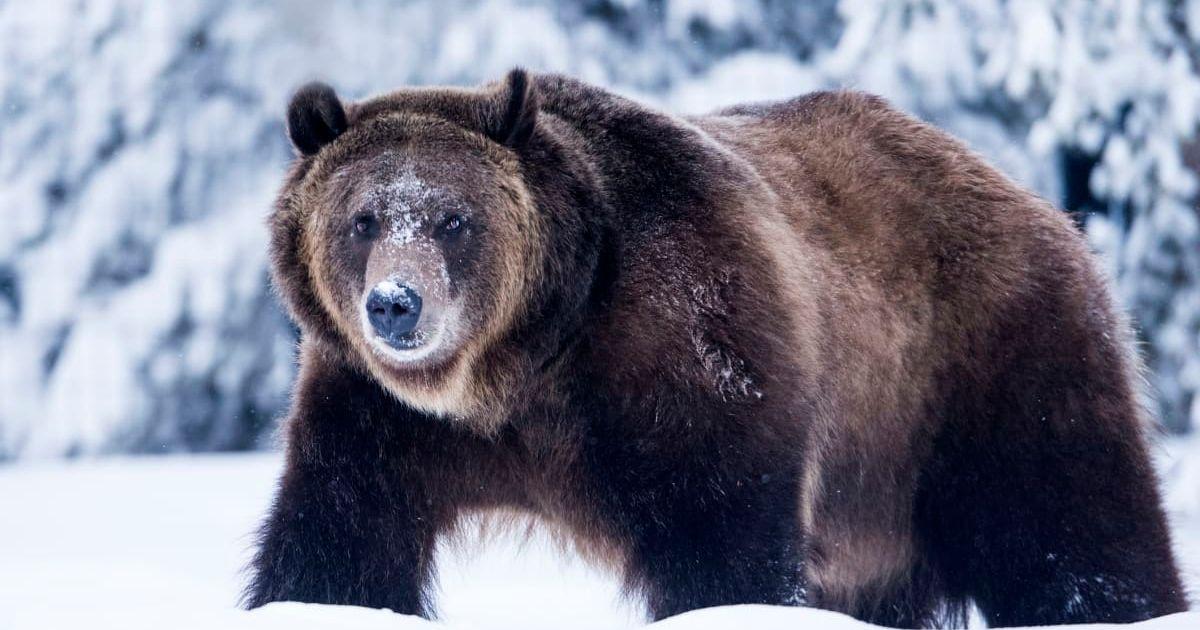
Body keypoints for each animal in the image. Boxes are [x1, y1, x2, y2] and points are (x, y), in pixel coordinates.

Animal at [245, 69, 1188, 627]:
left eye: (453, 218)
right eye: (363, 219)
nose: (395, 306)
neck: (521, 366)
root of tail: (1035, 201)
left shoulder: (688, 352)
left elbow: (722, 535)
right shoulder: (376, 415)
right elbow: (338, 541)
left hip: (984, 368)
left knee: (1071, 528)